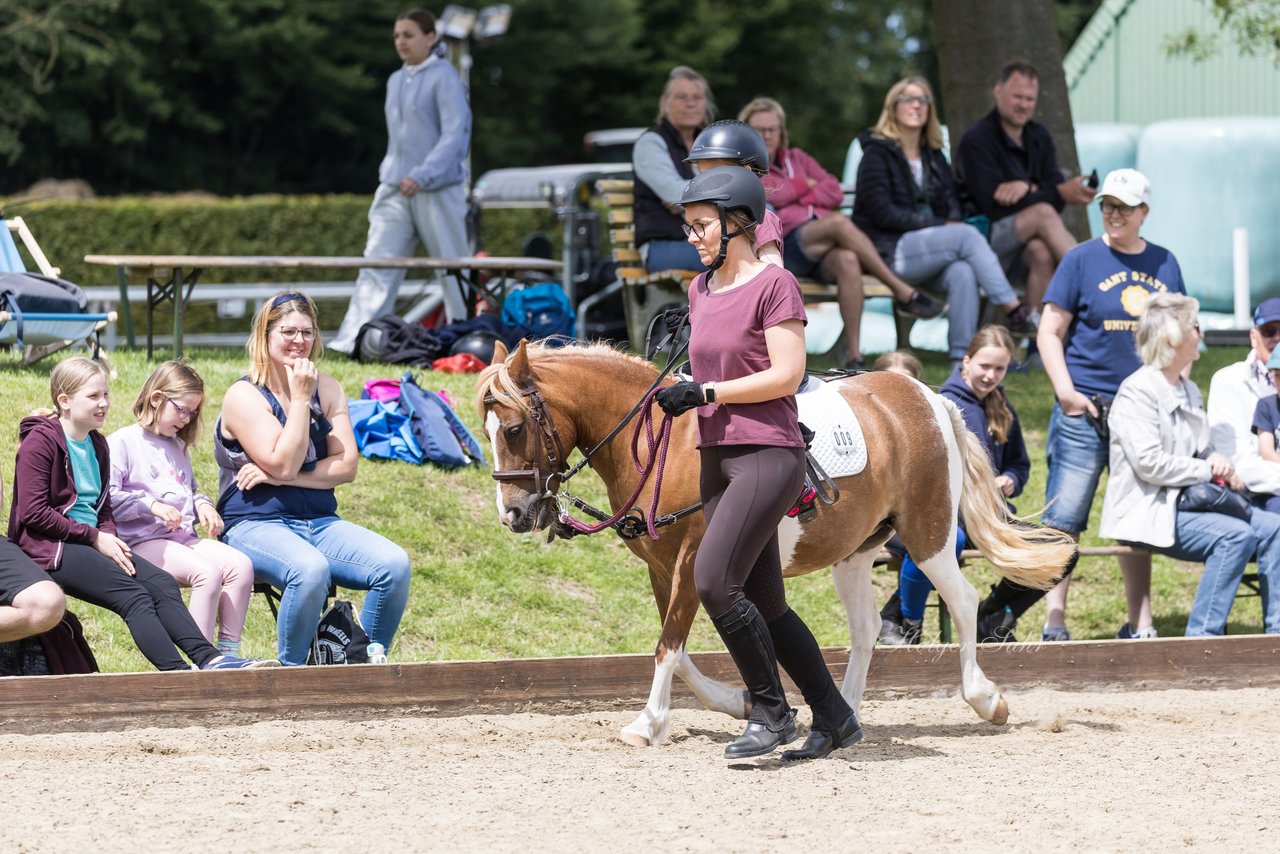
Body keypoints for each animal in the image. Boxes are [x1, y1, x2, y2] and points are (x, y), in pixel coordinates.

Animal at [476, 340, 1075, 747]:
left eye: (514, 429)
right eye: (485, 431)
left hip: (927, 535)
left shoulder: (694, 561)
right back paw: (845, 712)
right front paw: (738, 702)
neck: (662, 443)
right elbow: (678, 648)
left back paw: (986, 700)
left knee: (965, 602)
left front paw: (648, 723)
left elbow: (668, 646)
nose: (513, 515)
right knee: (865, 629)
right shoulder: (661, 567)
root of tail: (926, 396)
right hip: (856, 553)